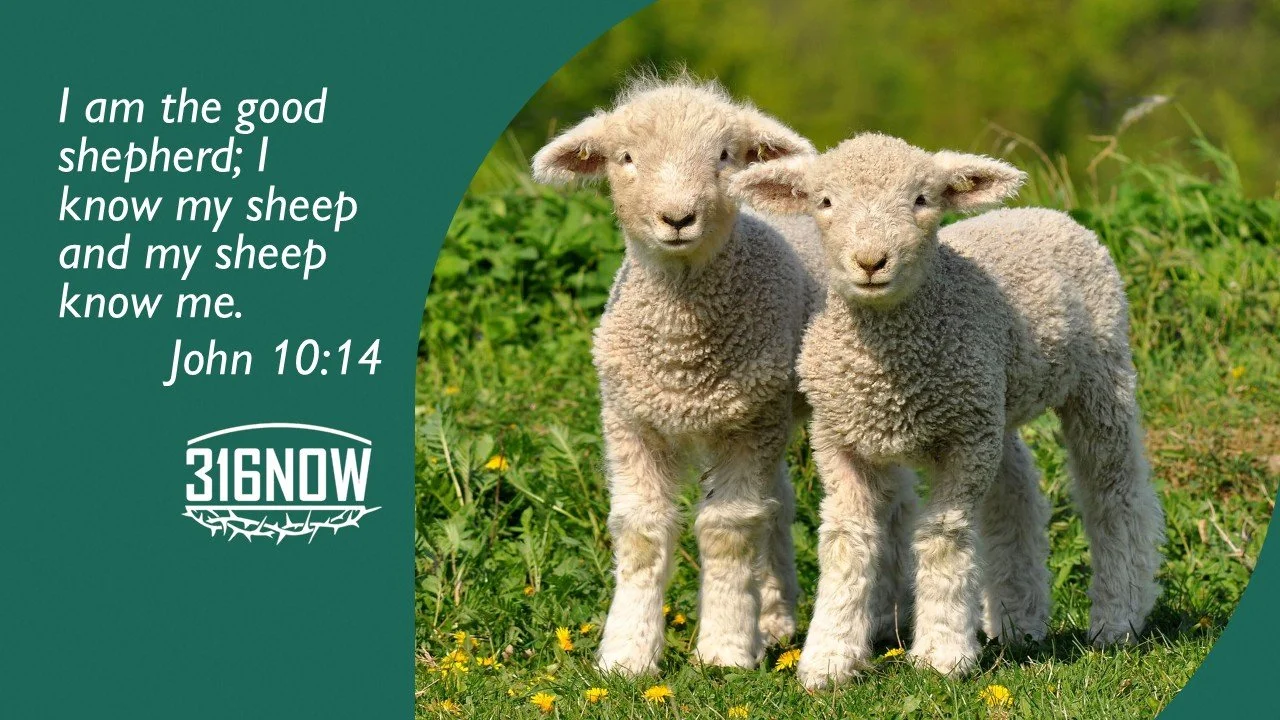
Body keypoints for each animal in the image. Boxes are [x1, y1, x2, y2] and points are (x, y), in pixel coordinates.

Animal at [531, 76, 919, 675]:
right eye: (626, 158)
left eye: (723, 156)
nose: (677, 218)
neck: (682, 353)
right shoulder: (630, 420)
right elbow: (641, 533)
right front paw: (626, 654)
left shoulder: (746, 425)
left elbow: (727, 530)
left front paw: (726, 649)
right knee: (778, 500)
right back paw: (776, 616)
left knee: (888, 499)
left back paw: (881, 616)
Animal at [729, 133, 1166, 688]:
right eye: (824, 202)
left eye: (922, 199)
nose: (871, 261)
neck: (889, 369)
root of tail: (1047, 214)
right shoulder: (840, 440)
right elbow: (847, 542)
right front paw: (829, 659)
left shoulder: (964, 442)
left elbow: (943, 538)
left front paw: (942, 654)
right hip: (994, 401)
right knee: (1016, 491)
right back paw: (1018, 621)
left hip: (1098, 375)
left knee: (1115, 492)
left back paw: (1118, 618)